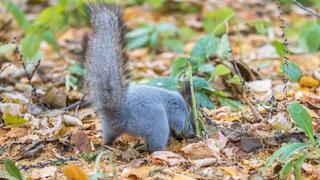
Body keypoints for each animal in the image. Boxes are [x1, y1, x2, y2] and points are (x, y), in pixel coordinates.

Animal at [86, 3, 194, 152]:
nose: (193, 132)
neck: (176, 99)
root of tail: (118, 113)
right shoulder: (176, 110)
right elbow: (180, 123)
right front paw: (188, 133)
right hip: (156, 122)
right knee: (155, 145)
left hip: (109, 127)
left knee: (108, 138)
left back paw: (108, 144)